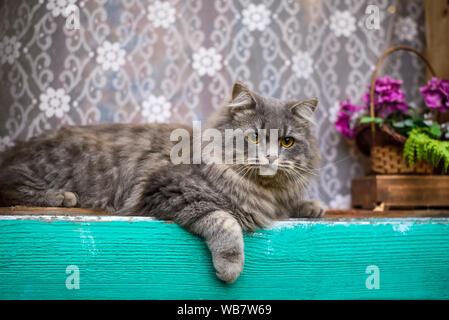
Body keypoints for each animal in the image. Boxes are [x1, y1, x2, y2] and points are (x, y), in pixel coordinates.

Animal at [0, 82, 324, 282]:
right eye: (255, 137)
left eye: (287, 142)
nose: (270, 157)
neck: (262, 190)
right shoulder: (172, 187)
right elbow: (224, 221)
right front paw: (230, 267)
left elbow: (292, 204)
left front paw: (311, 206)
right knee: (8, 187)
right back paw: (61, 196)